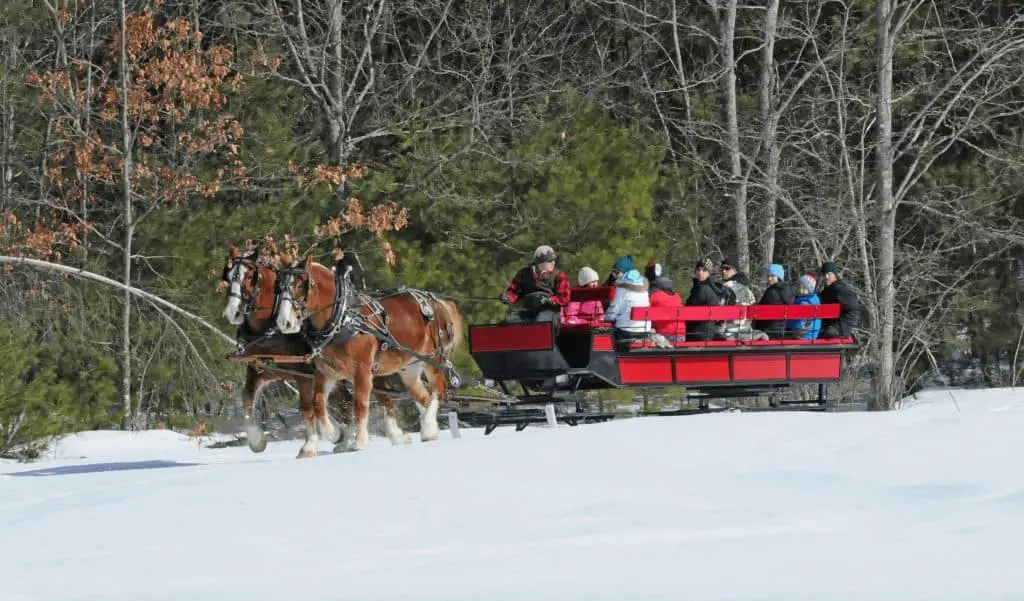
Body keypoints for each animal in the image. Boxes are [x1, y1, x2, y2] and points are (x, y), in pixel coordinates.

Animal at [272, 253, 464, 456]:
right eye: (279, 287)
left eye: (301, 284)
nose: (284, 322)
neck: (343, 319)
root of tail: (438, 302)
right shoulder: (327, 373)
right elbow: (318, 405)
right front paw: (337, 436)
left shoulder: (362, 371)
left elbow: (360, 405)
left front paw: (358, 442)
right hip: (409, 369)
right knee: (424, 397)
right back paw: (430, 431)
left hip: (434, 360)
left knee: (439, 391)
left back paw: (427, 425)